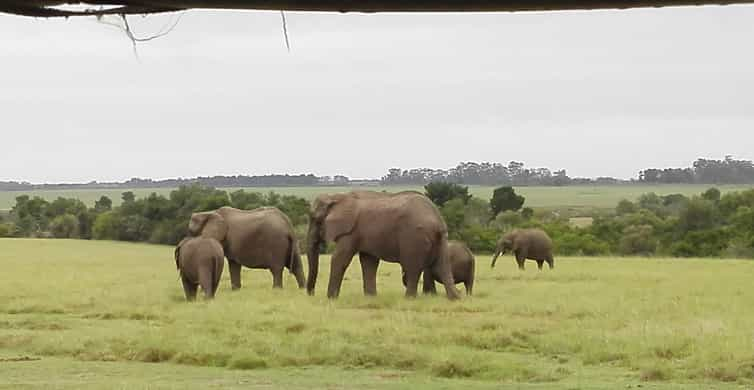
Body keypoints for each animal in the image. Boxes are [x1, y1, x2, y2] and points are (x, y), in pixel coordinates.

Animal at [304, 190, 458, 300]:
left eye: (316, 220)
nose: (311, 294)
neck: (337, 196)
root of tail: (437, 220)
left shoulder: (351, 232)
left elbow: (340, 259)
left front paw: (330, 299)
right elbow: (369, 262)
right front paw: (370, 298)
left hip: (414, 238)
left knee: (413, 267)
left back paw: (409, 299)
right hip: (441, 239)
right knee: (442, 266)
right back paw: (455, 298)